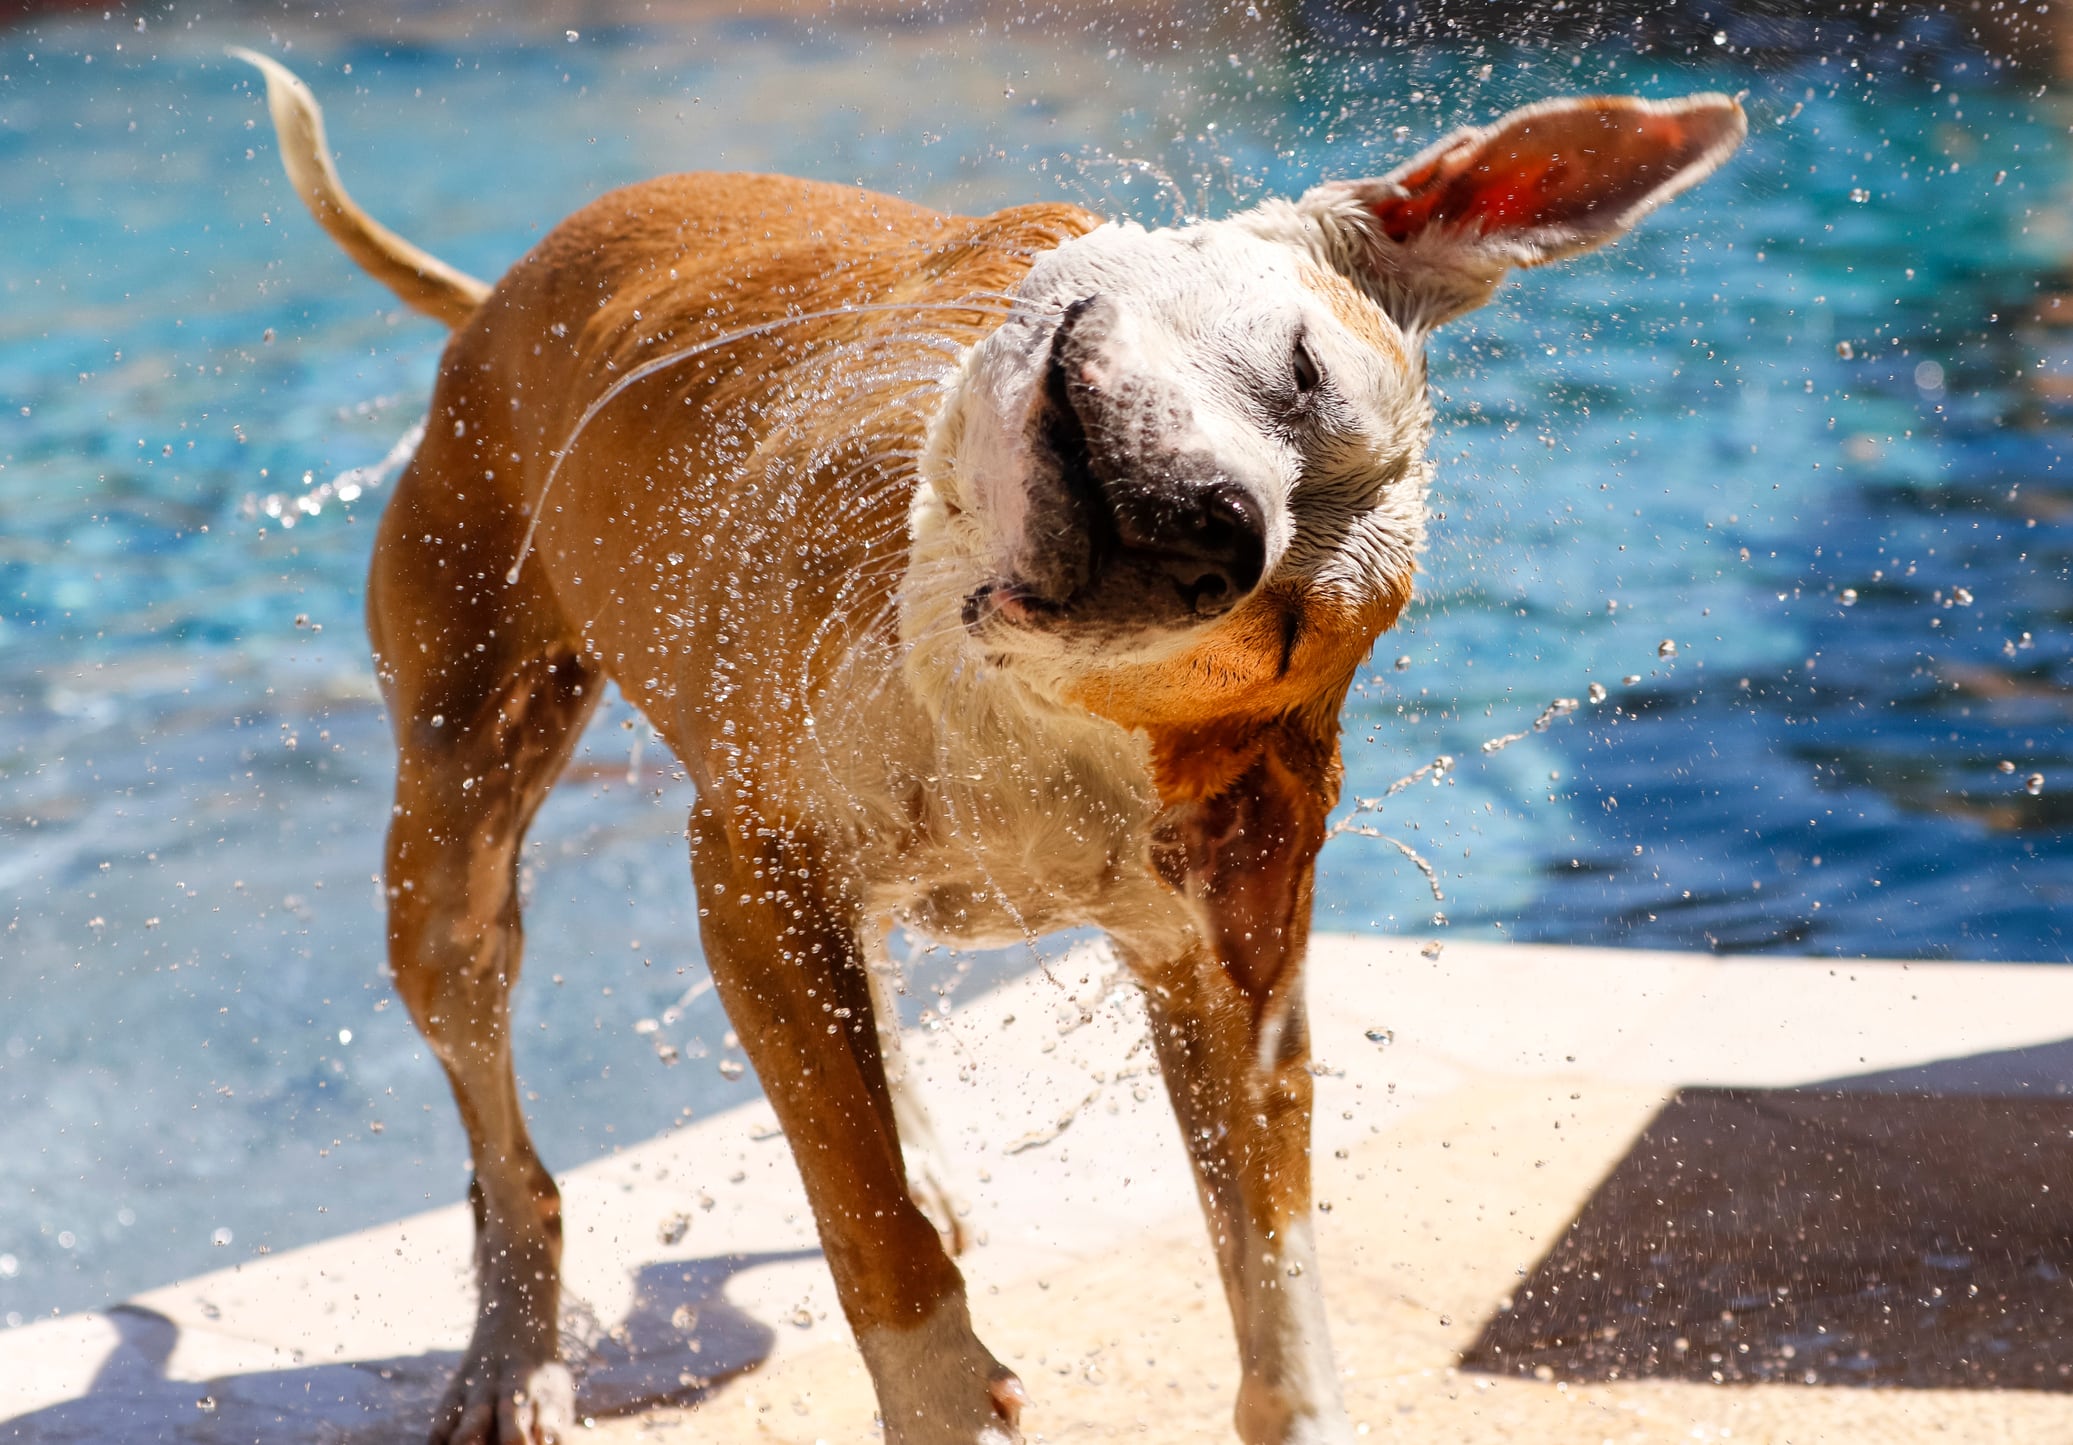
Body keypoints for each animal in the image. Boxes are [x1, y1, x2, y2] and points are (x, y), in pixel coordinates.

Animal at [235, 50, 1741, 1442]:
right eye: (1305, 369)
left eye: (1277, 626)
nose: (1214, 528)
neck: (986, 699)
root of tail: (492, 297)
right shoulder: (754, 876)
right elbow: (867, 1222)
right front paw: (946, 1387)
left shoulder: (1216, 974)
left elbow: (1272, 1274)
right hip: (452, 845)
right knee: (513, 1153)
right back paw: (514, 1357)